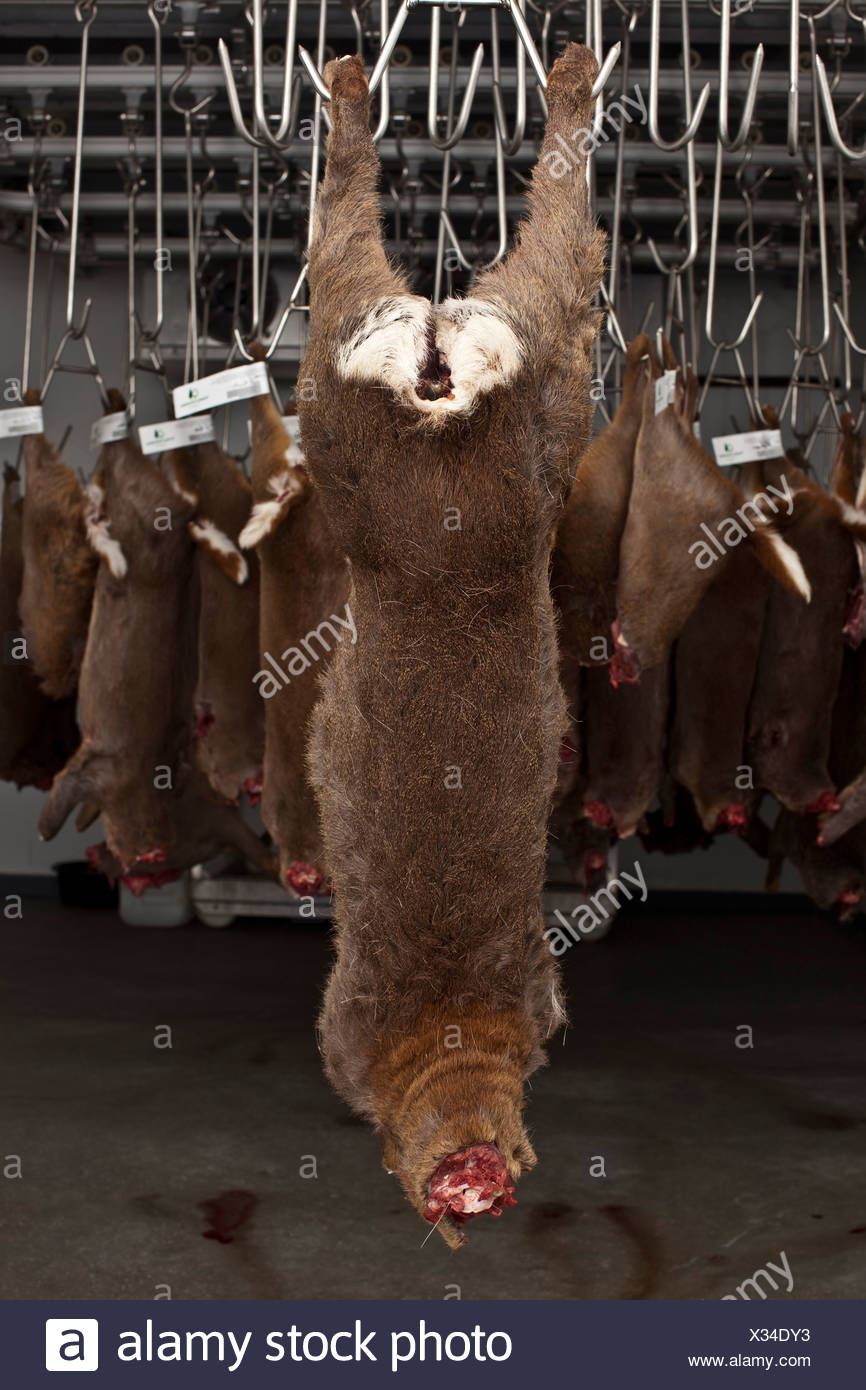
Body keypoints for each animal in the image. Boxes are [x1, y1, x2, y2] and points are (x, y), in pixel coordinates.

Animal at [297, 43, 606, 1246]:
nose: (471, 1180)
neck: (449, 1028)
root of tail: (441, 385)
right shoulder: (368, 1022)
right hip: (518, 406)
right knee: (550, 250)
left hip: (383, 419)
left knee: (352, 244)